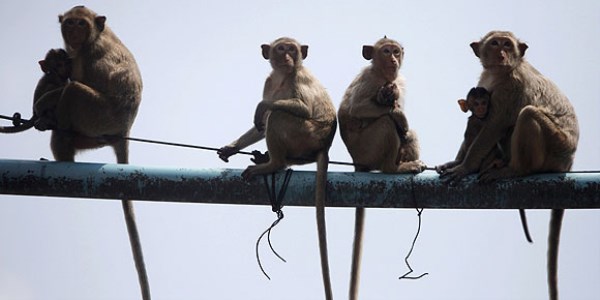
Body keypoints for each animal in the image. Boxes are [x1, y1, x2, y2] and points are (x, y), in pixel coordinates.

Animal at [32, 6, 151, 300]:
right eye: (70, 23)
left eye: (81, 24)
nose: (73, 31)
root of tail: (125, 130)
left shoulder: (85, 56)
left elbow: (73, 82)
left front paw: (44, 103)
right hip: (95, 135)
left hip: (98, 116)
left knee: (74, 91)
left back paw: (58, 141)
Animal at [217, 37, 338, 300]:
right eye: (281, 48)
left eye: (292, 49)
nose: (287, 56)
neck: (283, 76)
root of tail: (323, 146)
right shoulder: (269, 81)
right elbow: (259, 128)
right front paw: (232, 147)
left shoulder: (299, 78)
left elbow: (299, 108)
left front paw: (262, 105)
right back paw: (267, 159)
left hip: (305, 134)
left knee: (278, 115)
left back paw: (274, 163)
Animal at [338, 37, 426, 300]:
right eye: (386, 51)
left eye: (396, 51)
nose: (394, 58)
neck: (383, 75)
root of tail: (357, 161)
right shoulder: (369, 79)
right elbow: (356, 108)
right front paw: (394, 110)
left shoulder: (400, 81)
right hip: (369, 149)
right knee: (387, 123)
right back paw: (393, 168)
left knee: (408, 133)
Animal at [438, 31, 580, 300]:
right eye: (495, 44)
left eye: (507, 44)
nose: (502, 54)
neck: (501, 72)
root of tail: (568, 162)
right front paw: (456, 161)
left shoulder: (510, 87)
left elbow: (494, 124)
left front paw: (465, 167)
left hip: (555, 146)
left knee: (527, 114)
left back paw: (513, 169)